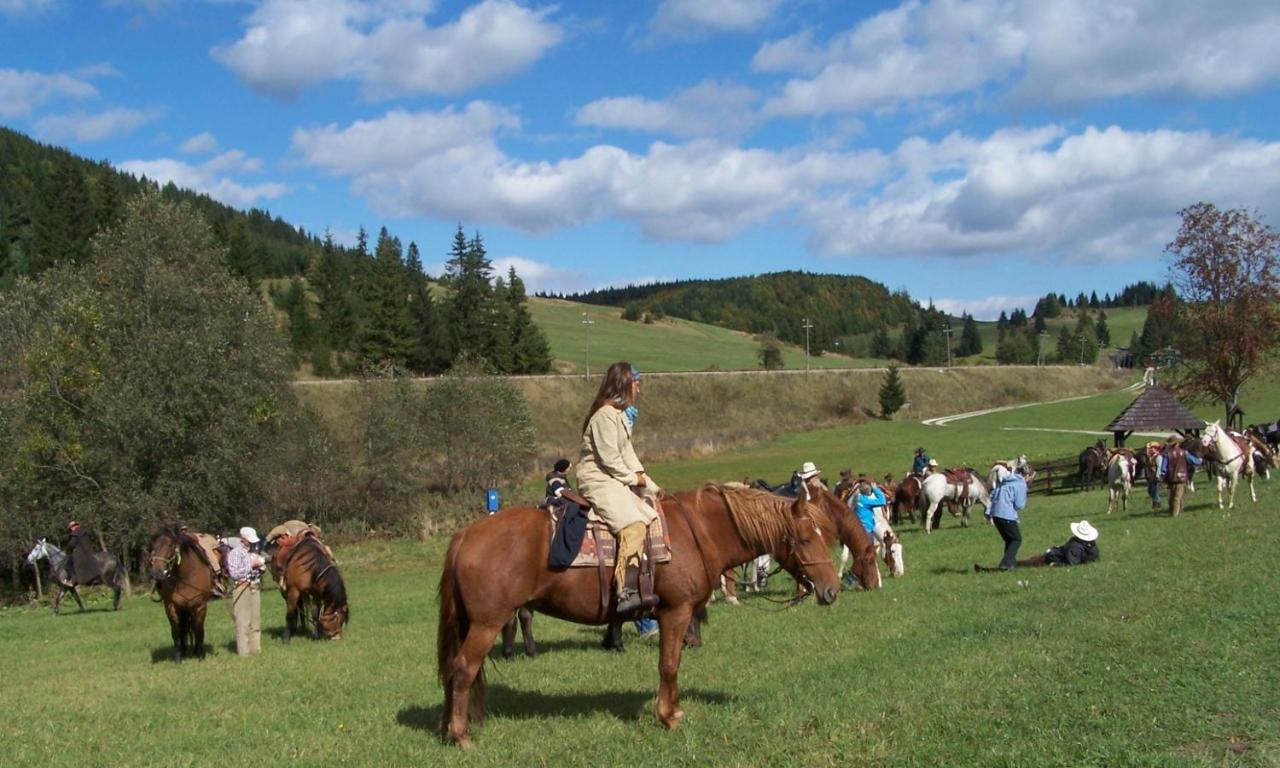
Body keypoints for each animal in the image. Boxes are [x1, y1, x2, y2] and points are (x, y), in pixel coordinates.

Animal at [149, 527, 220, 660]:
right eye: (153, 547)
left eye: (170, 545)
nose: (157, 572)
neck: (186, 576)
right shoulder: (171, 606)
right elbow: (176, 631)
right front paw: (178, 657)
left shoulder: (200, 606)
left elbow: (199, 629)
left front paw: (200, 655)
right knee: (182, 629)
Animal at [435, 486, 844, 742]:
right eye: (805, 538)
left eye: (825, 534)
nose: (831, 590)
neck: (698, 532)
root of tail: (465, 535)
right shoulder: (676, 613)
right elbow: (669, 665)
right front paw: (669, 716)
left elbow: (672, 664)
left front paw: (672, 710)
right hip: (486, 624)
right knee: (463, 670)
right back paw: (460, 736)